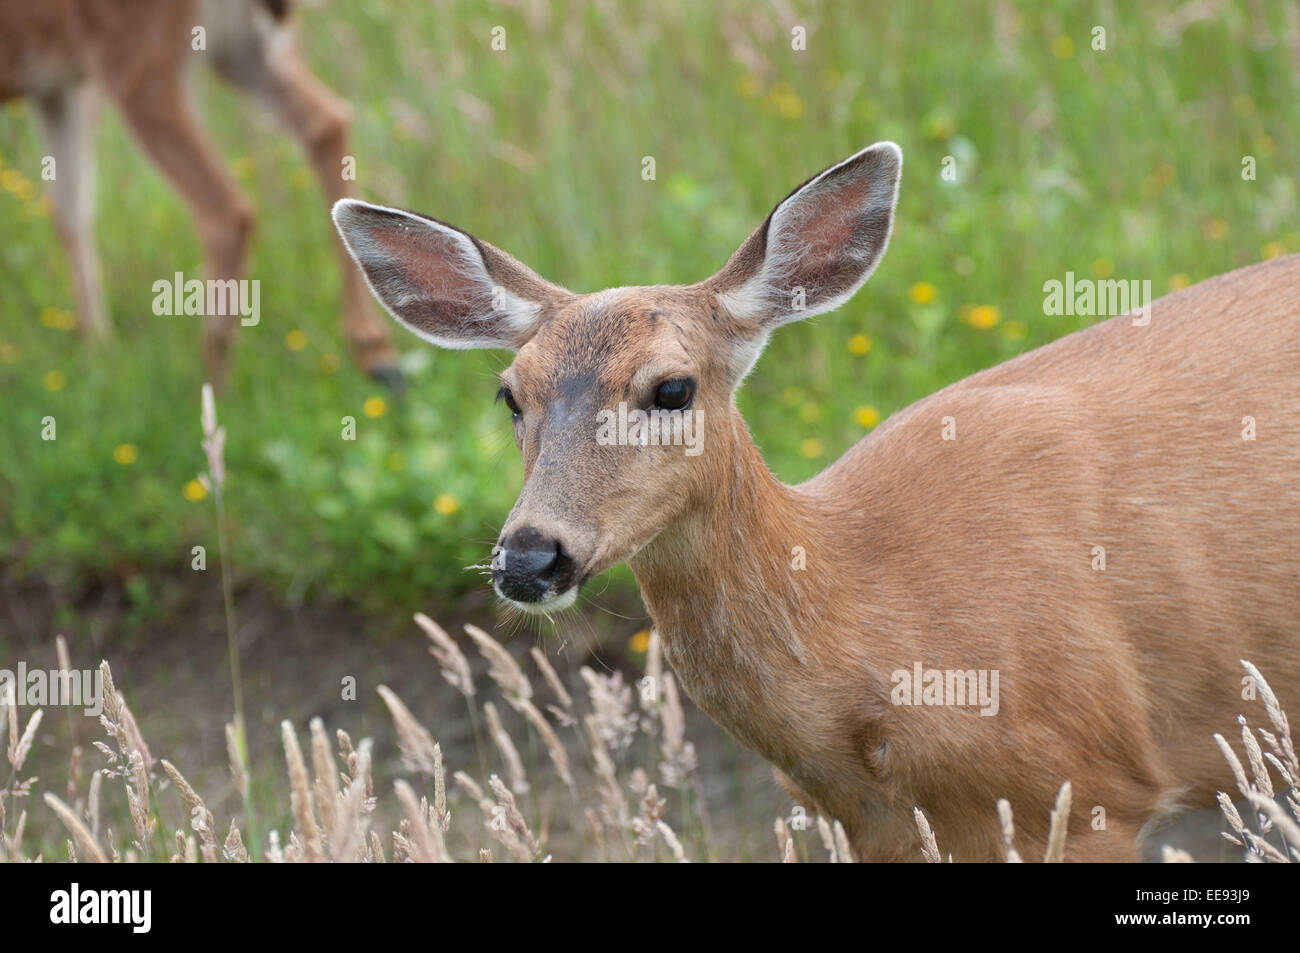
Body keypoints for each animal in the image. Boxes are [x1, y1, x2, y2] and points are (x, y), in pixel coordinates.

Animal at [0, 0, 400, 389]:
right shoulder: (55, 89)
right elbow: (71, 213)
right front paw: (98, 351)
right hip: (239, 47)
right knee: (328, 119)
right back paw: (375, 352)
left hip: (138, 57)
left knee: (226, 208)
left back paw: (212, 389)